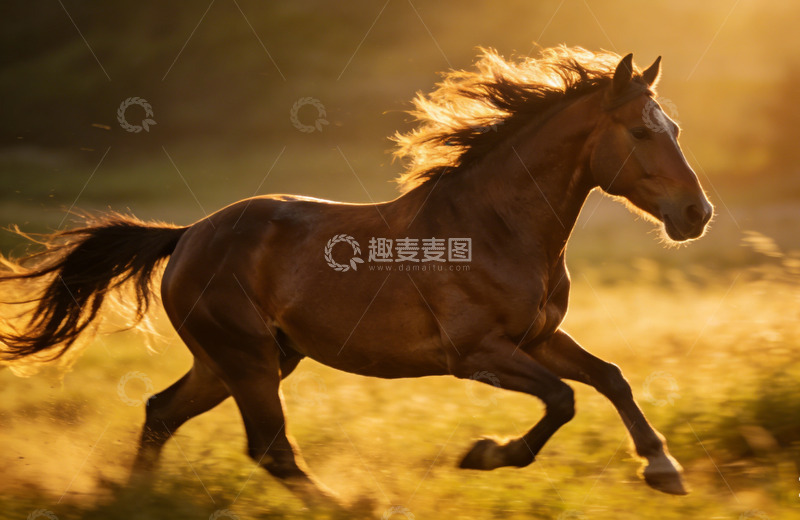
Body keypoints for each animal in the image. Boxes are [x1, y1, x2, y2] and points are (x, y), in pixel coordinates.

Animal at [0, 46, 712, 510]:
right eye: (641, 131)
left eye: (676, 127)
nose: (696, 214)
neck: (495, 228)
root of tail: (188, 234)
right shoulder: (476, 355)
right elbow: (562, 400)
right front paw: (484, 453)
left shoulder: (536, 339)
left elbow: (610, 378)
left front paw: (664, 468)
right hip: (247, 360)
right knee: (269, 448)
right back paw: (348, 506)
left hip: (239, 361)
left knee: (160, 412)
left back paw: (136, 497)